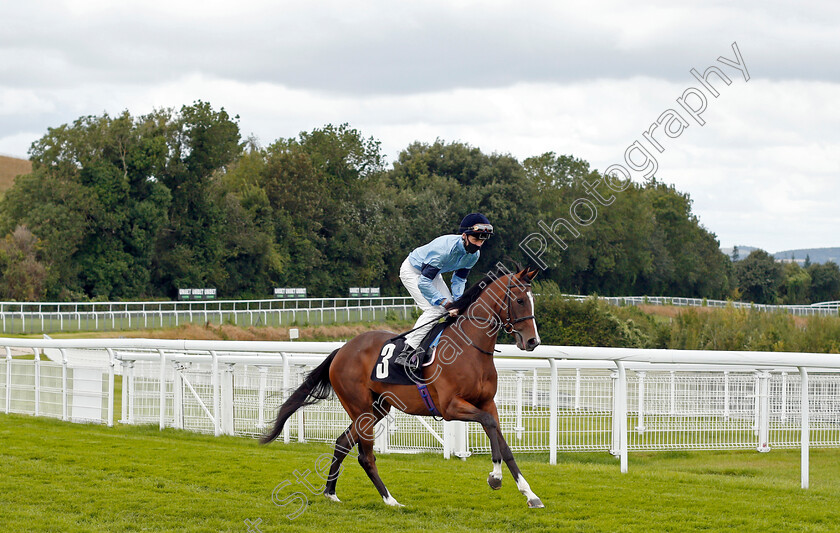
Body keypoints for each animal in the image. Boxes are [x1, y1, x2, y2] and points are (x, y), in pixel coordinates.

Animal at [260, 266, 544, 508]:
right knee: (365, 456)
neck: (470, 348)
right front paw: (495, 477)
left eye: (533, 300)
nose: (533, 341)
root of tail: (342, 349)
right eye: (520, 300)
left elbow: (502, 441)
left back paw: (331, 493)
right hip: (361, 408)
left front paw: (530, 494)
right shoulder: (450, 407)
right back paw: (390, 500)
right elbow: (489, 423)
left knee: (342, 442)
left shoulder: (487, 402)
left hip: (376, 408)